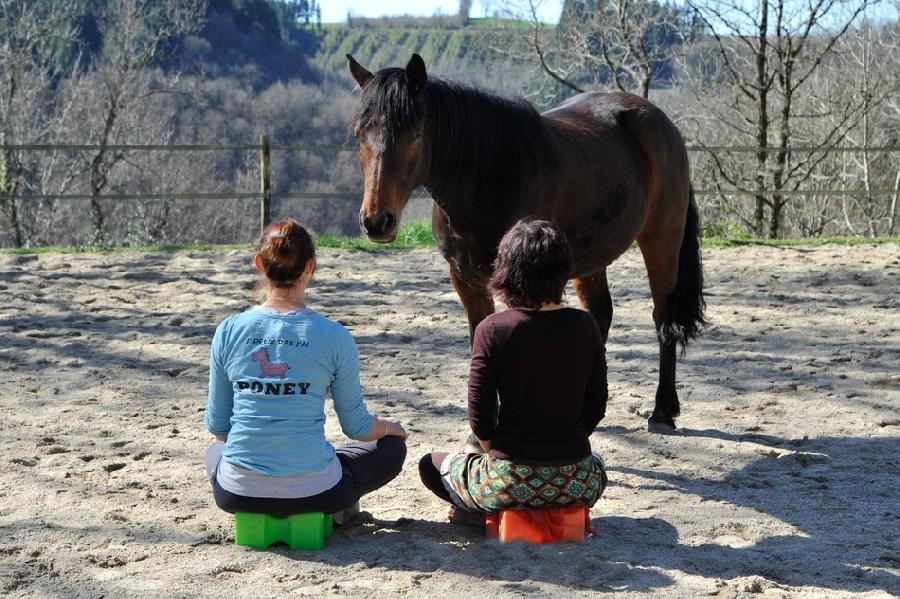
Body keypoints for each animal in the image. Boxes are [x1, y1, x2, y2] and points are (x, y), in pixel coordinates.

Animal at [344, 54, 704, 434]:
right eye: (359, 135)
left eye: (414, 135)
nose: (376, 221)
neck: (489, 177)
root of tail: (660, 121)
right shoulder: (466, 281)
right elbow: (479, 340)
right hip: (591, 257)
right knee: (600, 313)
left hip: (662, 239)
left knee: (663, 317)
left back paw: (662, 411)